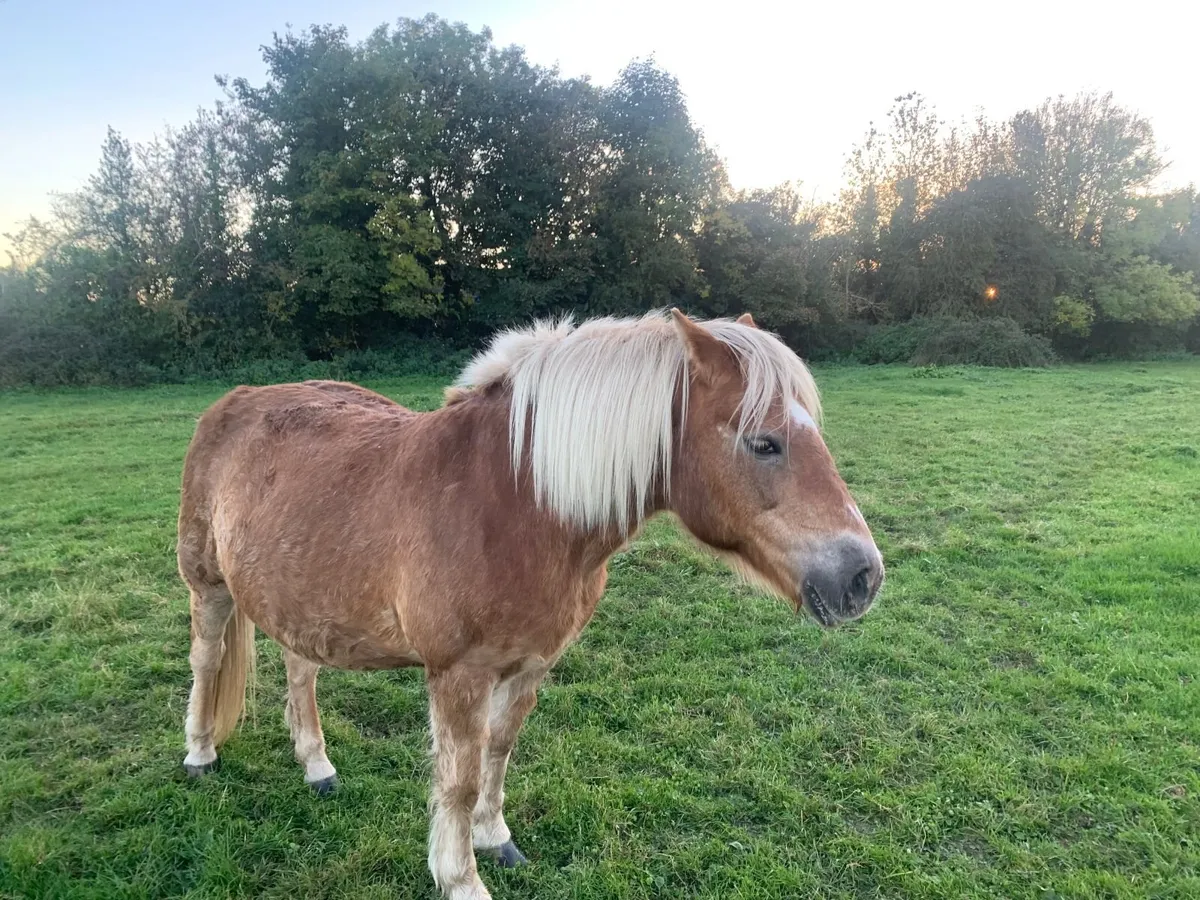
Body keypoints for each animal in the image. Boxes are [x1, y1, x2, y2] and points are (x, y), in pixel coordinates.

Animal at [176, 309, 884, 900]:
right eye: (764, 442)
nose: (862, 577)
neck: (516, 501)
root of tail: (235, 402)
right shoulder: (458, 675)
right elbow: (458, 780)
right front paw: (460, 879)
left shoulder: (530, 664)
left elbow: (499, 749)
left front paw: (496, 839)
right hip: (207, 584)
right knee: (207, 661)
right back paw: (200, 755)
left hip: (300, 596)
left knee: (301, 668)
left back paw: (317, 765)